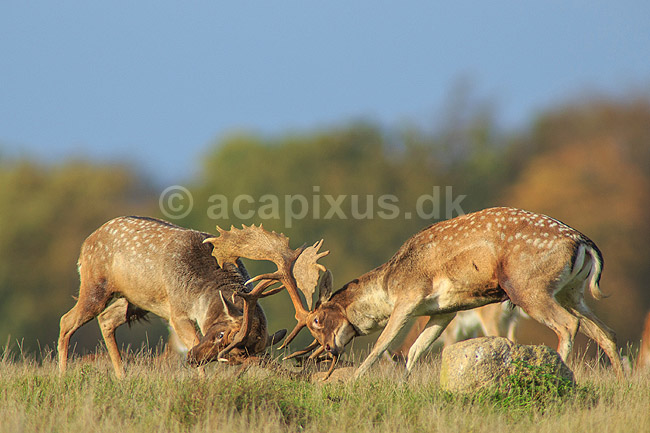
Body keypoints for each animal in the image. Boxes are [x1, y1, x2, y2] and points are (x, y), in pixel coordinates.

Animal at [57, 216, 287, 378]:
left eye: (238, 357)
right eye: (221, 335)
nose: (192, 359)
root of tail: (85, 245)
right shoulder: (177, 313)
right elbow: (193, 340)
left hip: (134, 301)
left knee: (106, 319)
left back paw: (122, 376)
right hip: (95, 286)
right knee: (67, 320)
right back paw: (63, 376)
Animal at [204, 207, 625, 380]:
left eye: (319, 319)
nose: (324, 354)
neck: (389, 284)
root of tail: (585, 244)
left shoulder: (408, 300)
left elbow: (380, 347)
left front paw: (355, 382)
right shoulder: (444, 310)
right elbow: (414, 352)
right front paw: (403, 385)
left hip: (528, 286)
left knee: (568, 327)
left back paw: (563, 375)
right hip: (572, 291)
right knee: (605, 331)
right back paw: (620, 381)